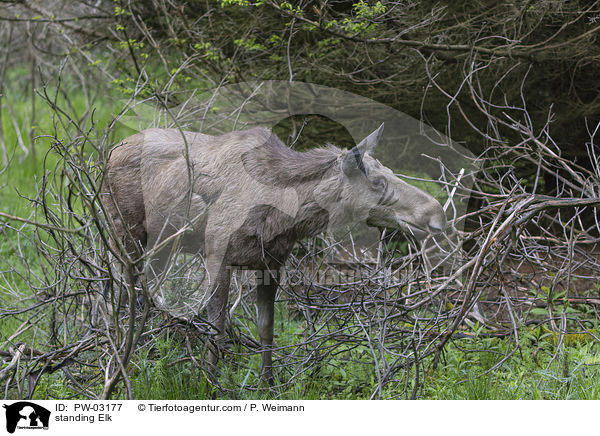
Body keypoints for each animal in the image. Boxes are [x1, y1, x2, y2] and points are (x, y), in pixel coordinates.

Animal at [102, 122, 446, 382]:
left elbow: (267, 329)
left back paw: (147, 352)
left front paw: (268, 383)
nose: (436, 213)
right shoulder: (217, 256)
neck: (283, 216)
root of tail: (109, 151)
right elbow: (217, 330)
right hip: (127, 233)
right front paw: (210, 383)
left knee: (145, 295)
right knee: (122, 294)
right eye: (376, 181)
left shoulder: (271, 264)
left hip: (161, 245)